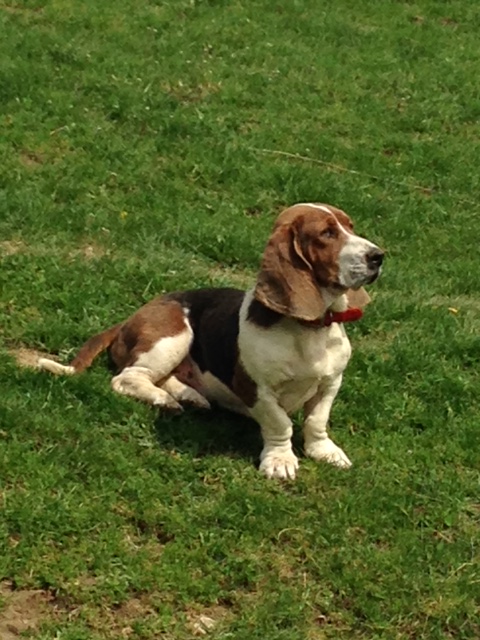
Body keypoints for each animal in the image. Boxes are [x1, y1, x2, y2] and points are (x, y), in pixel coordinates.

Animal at [37, 202, 384, 478]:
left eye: (350, 225)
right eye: (327, 233)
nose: (378, 256)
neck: (311, 327)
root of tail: (133, 316)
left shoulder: (331, 382)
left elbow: (316, 421)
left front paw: (324, 451)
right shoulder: (255, 389)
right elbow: (280, 424)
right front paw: (279, 461)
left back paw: (190, 396)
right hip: (173, 335)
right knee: (128, 378)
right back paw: (165, 399)